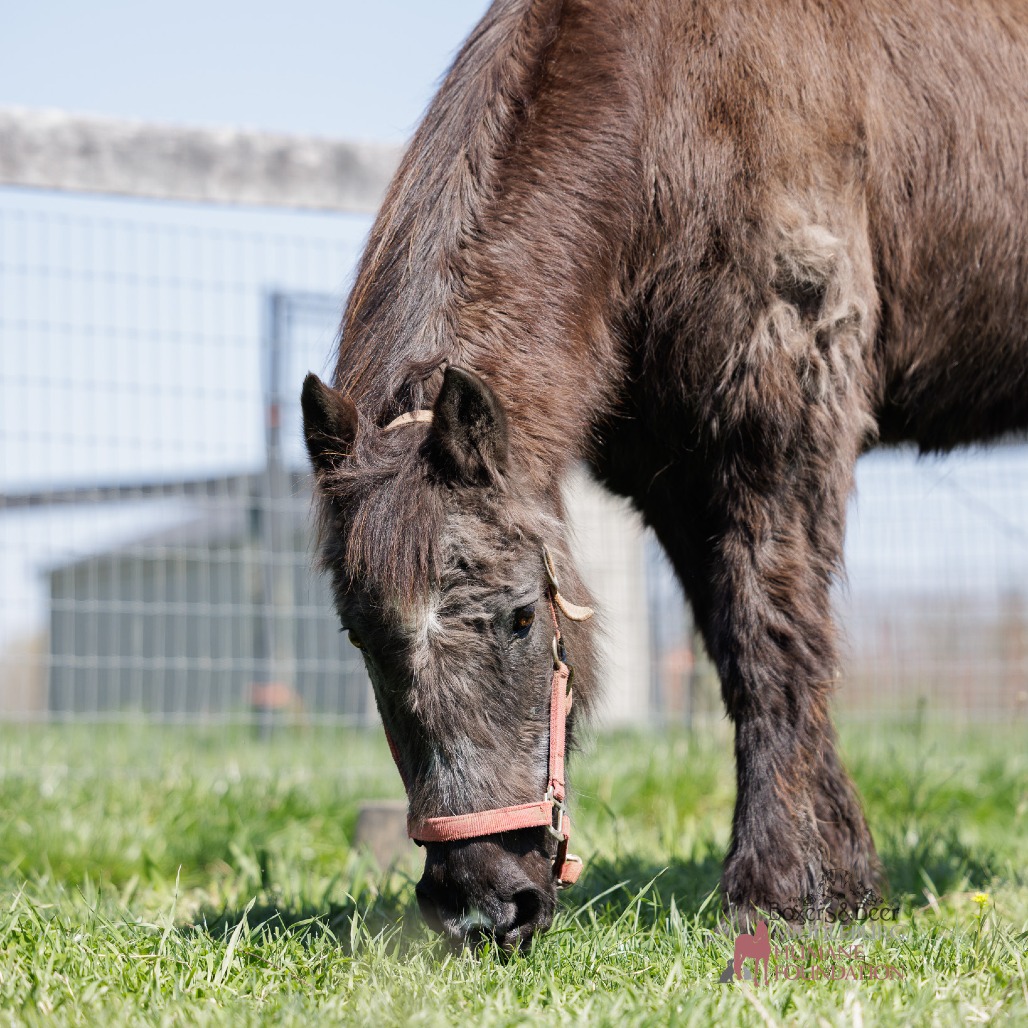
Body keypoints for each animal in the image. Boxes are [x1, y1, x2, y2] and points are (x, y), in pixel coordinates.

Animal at [302, 0, 1028, 951]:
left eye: (521, 617)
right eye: (359, 638)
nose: (482, 907)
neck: (671, 109)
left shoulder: (779, 428)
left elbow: (774, 644)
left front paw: (780, 888)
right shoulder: (674, 477)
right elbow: (734, 652)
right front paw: (843, 878)